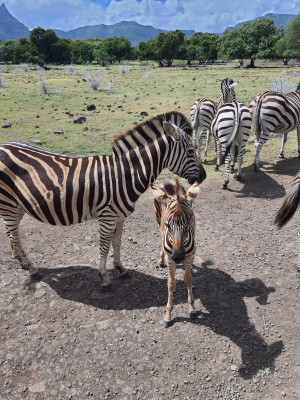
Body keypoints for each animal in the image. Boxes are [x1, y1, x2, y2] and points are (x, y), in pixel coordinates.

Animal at [0, 110, 206, 288]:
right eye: (190, 151)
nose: (203, 176)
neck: (125, 175)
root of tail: (4, 145)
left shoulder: (120, 217)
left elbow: (117, 242)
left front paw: (121, 268)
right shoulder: (107, 217)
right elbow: (104, 247)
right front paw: (104, 277)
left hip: (18, 204)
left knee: (12, 235)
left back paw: (22, 263)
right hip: (8, 203)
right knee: (14, 235)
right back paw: (32, 269)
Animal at [152, 178, 199, 328]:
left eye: (188, 223)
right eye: (168, 225)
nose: (178, 257)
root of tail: (168, 181)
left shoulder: (190, 256)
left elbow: (188, 279)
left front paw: (192, 309)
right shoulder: (170, 258)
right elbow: (171, 283)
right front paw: (168, 315)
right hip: (158, 219)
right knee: (161, 234)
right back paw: (161, 260)